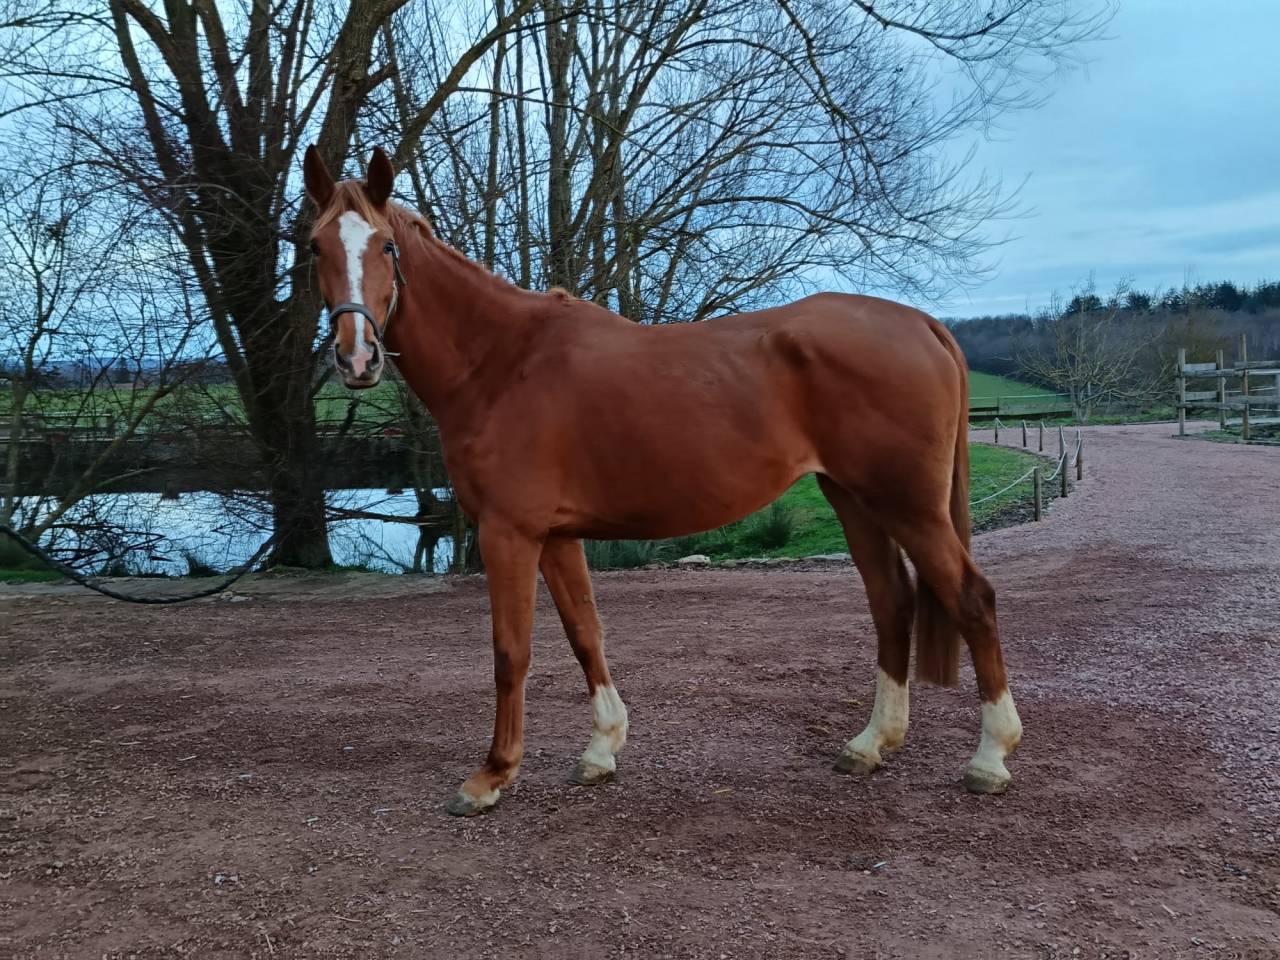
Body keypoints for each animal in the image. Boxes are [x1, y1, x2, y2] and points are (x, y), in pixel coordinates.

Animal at [302, 146, 1022, 816]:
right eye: (315, 246)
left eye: (386, 246)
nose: (357, 358)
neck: (500, 363)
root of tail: (921, 324)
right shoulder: (556, 536)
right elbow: (585, 633)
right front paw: (601, 749)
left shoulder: (509, 533)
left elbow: (511, 651)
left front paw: (491, 775)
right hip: (855, 498)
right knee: (891, 602)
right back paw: (871, 744)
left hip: (909, 505)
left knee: (972, 599)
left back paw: (990, 757)